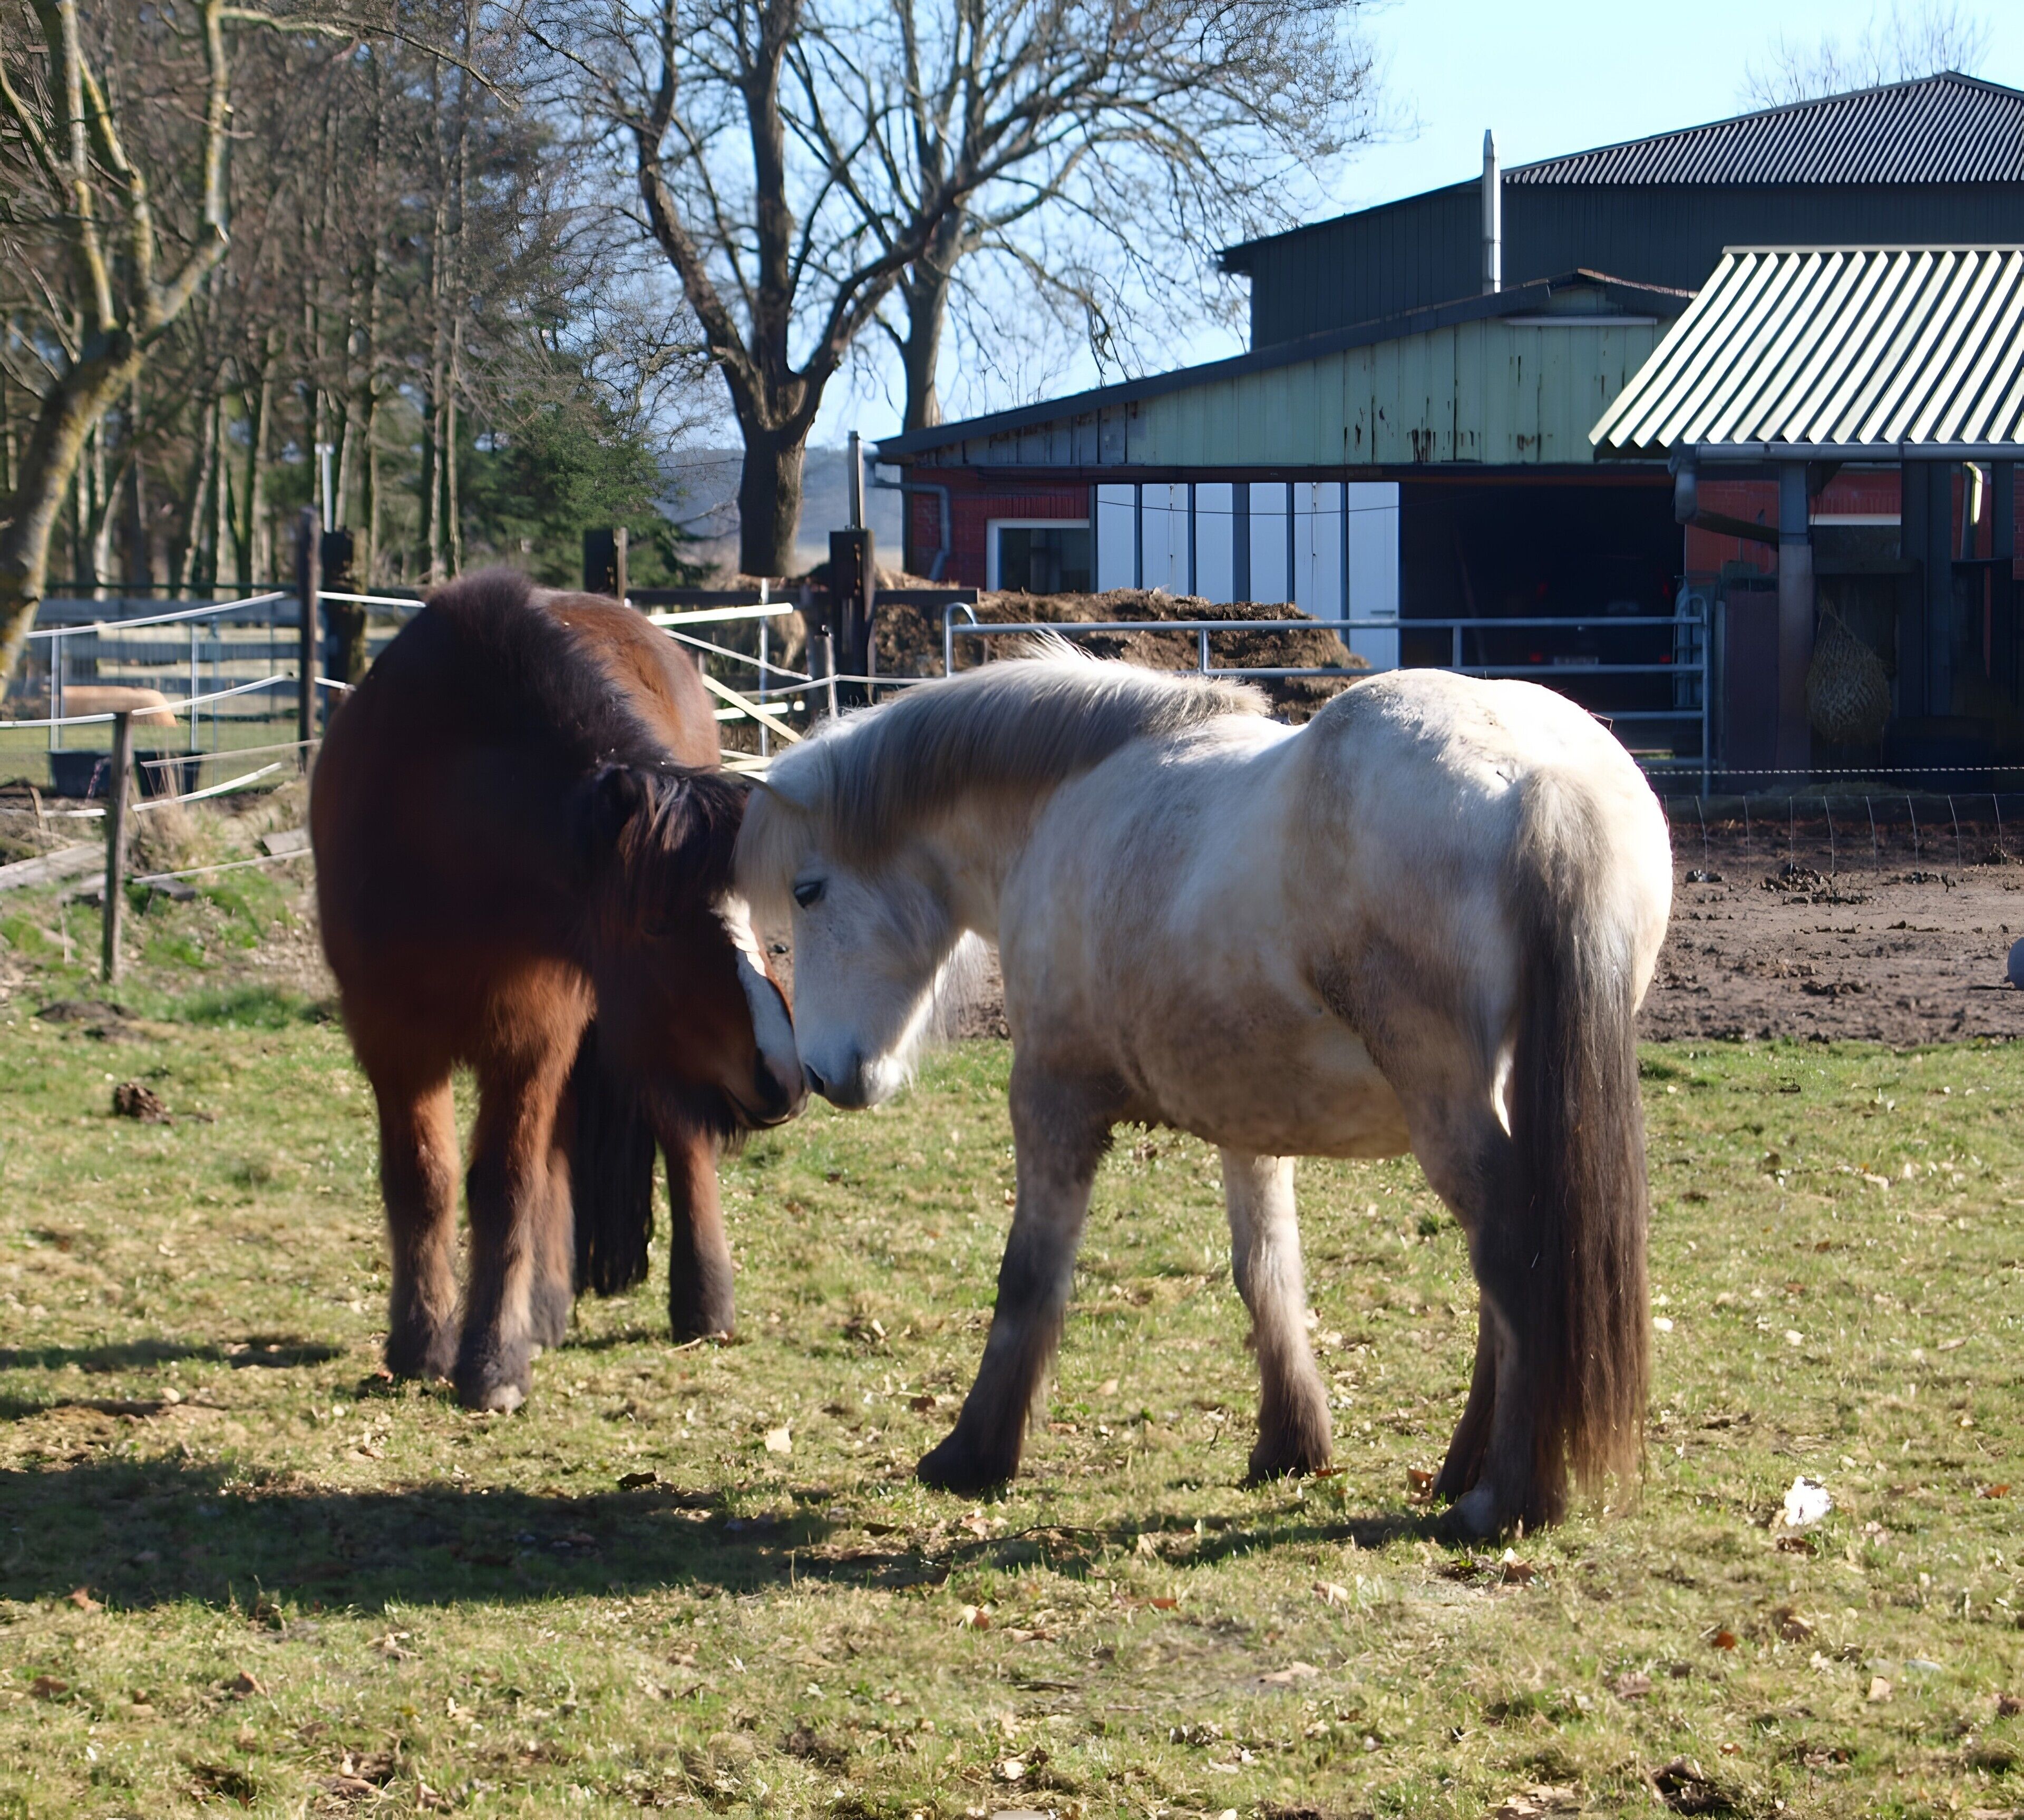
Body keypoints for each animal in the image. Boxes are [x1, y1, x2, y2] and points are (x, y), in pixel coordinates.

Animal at [311, 569, 803, 1413]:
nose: (785, 1074)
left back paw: (702, 1302)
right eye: (659, 923)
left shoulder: (530, 1039)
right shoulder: (392, 1040)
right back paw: (542, 1308)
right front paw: (421, 1344)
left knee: (679, 1136)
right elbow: (424, 1181)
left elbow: (505, 1186)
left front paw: (493, 1366)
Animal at [736, 652, 1672, 1537]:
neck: (1070, 796)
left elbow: (1029, 1278)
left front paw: (971, 1453)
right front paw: (1290, 1445)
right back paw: (1461, 1472)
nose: (823, 1074)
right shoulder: (1250, 1125)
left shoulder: (1052, 1100)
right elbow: (1267, 1273)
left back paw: (1502, 1499)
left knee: (1513, 1256)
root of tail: (1541, 777)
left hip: (1452, 1113)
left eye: (808, 892)